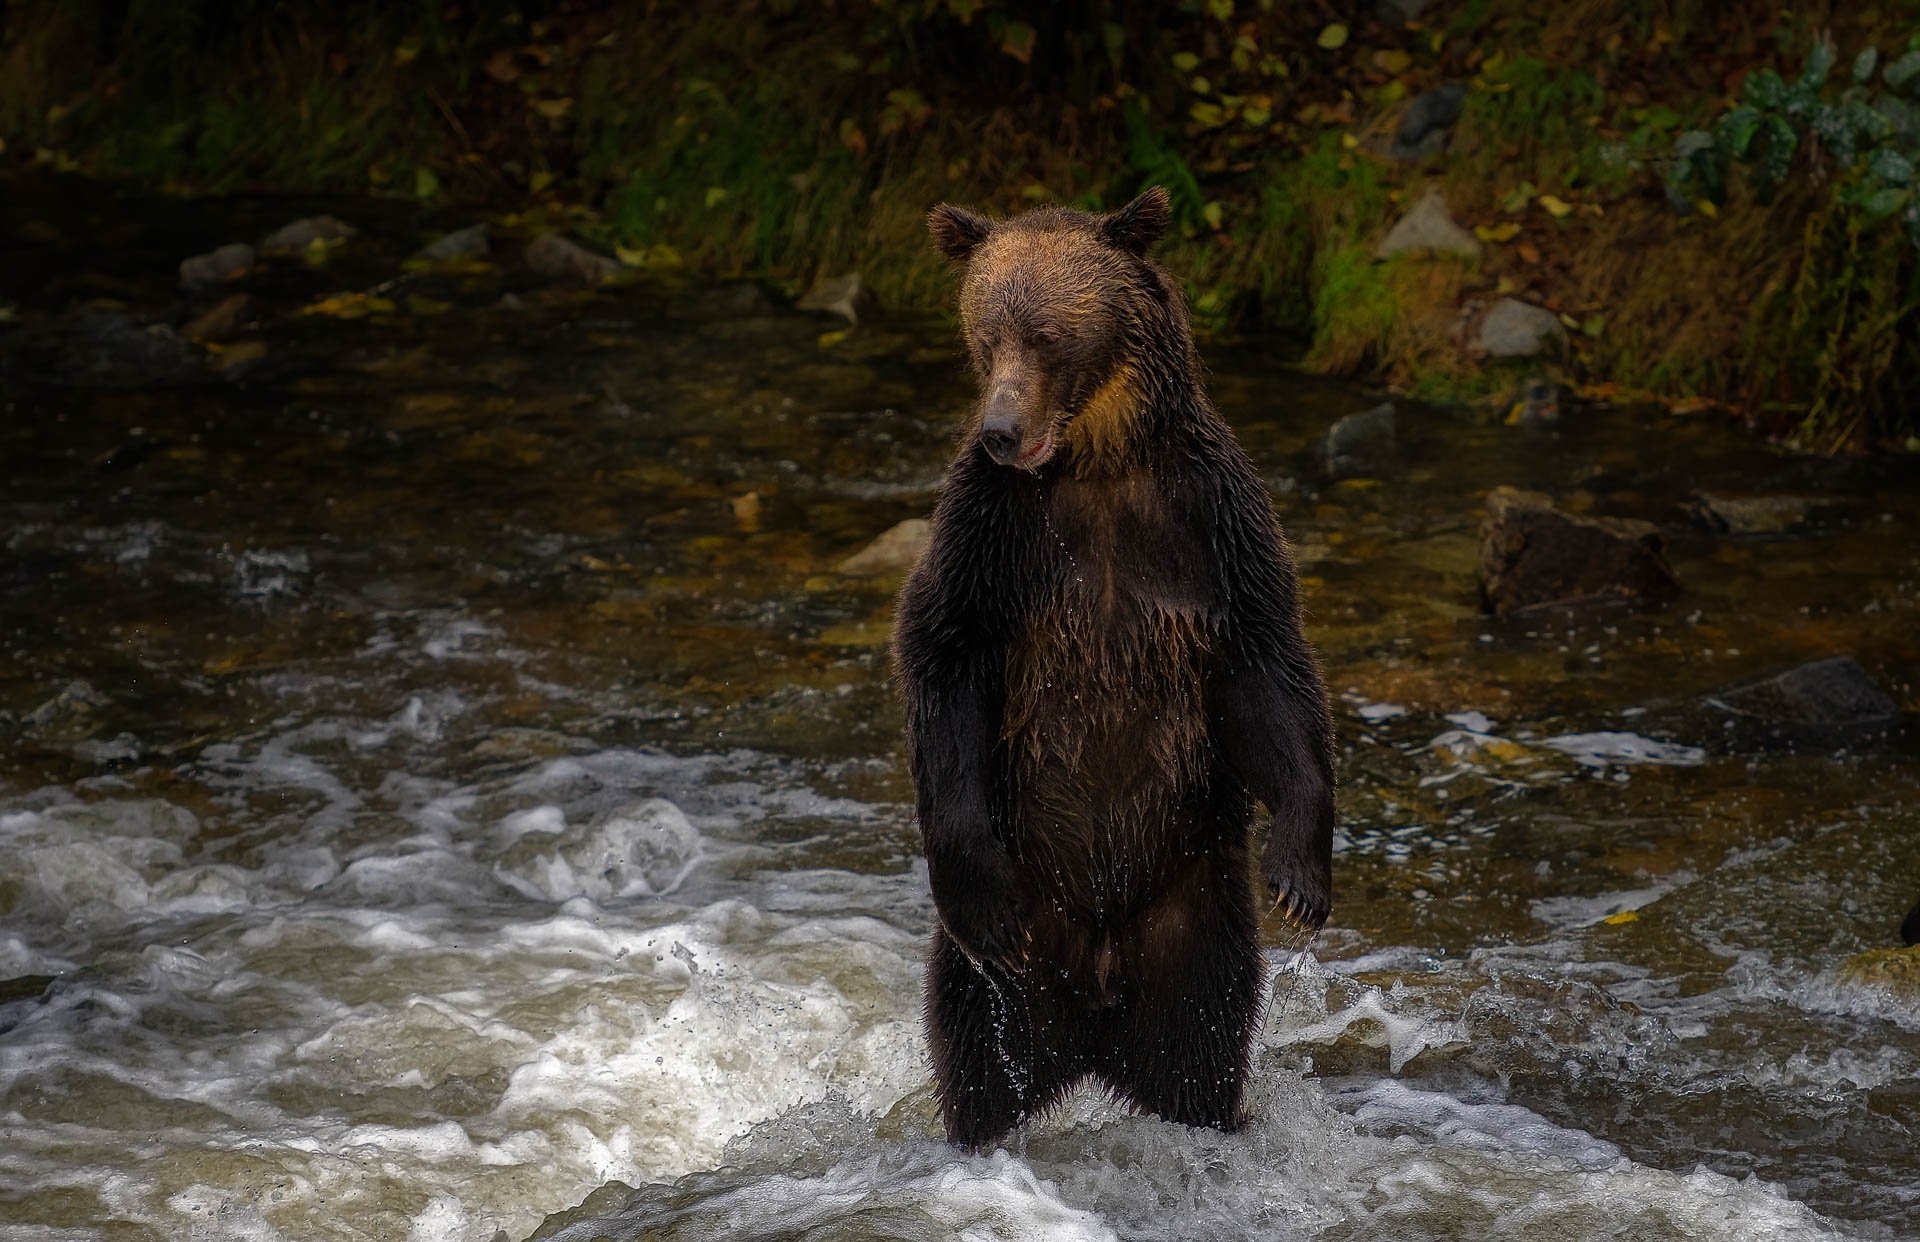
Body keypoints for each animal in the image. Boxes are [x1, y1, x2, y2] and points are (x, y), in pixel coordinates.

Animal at [891, 186, 1336, 1150]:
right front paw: (977, 891)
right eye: (985, 333)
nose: (1001, 430)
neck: (1096, 458)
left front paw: (1300, 872)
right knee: (976, 1056)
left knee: (1202, 1051)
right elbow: (943, 660)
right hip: (1009, 965)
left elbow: (1268, 676)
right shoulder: (989, 536)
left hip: (1195, 927)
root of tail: (1094, 1004)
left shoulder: (1211, 527)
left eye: (1049, 335)